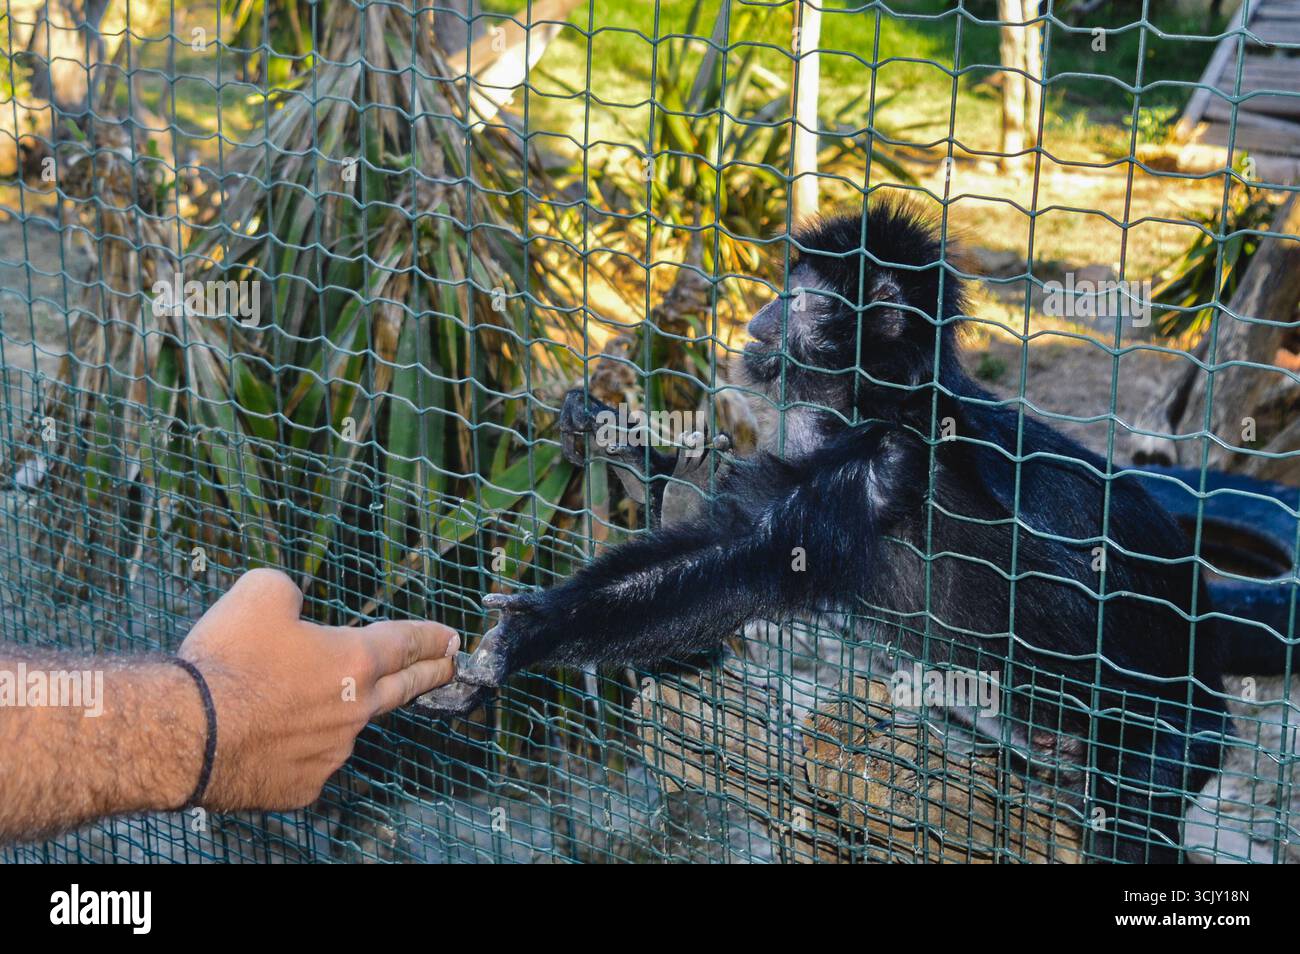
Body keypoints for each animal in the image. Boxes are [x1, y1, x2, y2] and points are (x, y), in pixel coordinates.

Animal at [418, 197, 1292, 862]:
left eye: (801, 298)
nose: (762, 315)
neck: (880, 402)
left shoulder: (880, 466)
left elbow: (740, 563)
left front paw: (526, 637)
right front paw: (624, 445)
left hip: (1171, 734)